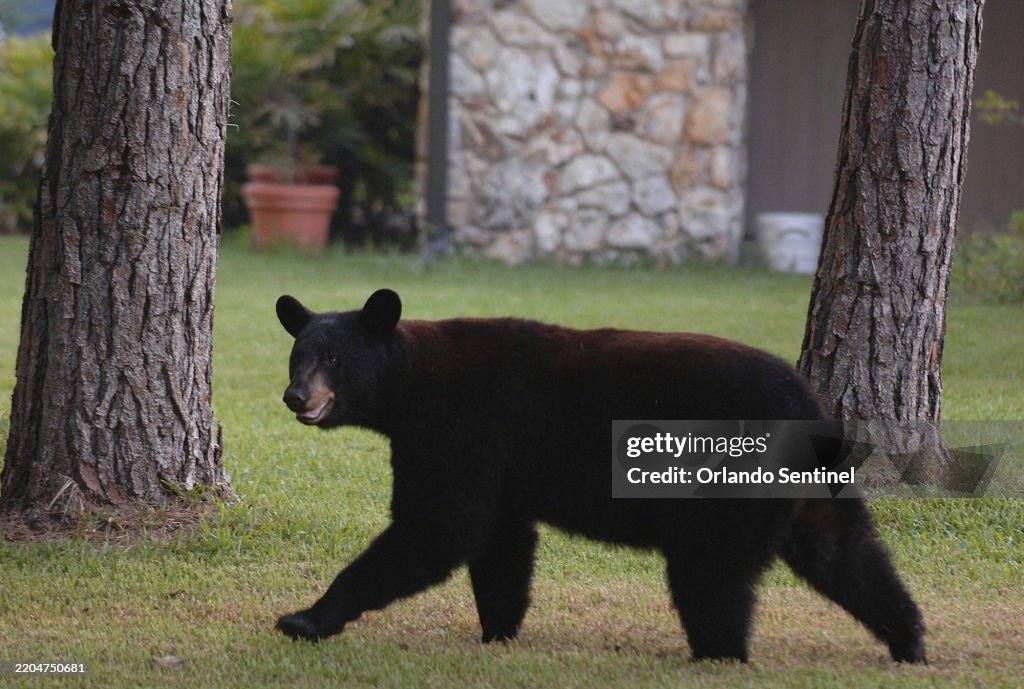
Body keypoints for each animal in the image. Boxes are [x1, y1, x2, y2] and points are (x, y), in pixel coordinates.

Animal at [273, 289, 925, 663]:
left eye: (333, 358)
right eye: (296, 355)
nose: (295, 396)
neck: (411, 384)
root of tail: (809, 410)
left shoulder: (460, 432)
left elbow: (439, 528)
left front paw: (306, 618)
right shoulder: (500, 464)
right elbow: (501, 545)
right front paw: (499, 632)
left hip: (725, 481)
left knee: (710, 574)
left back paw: (718, 654)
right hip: (814, 488)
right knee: (844, 551)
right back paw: (909, 639)